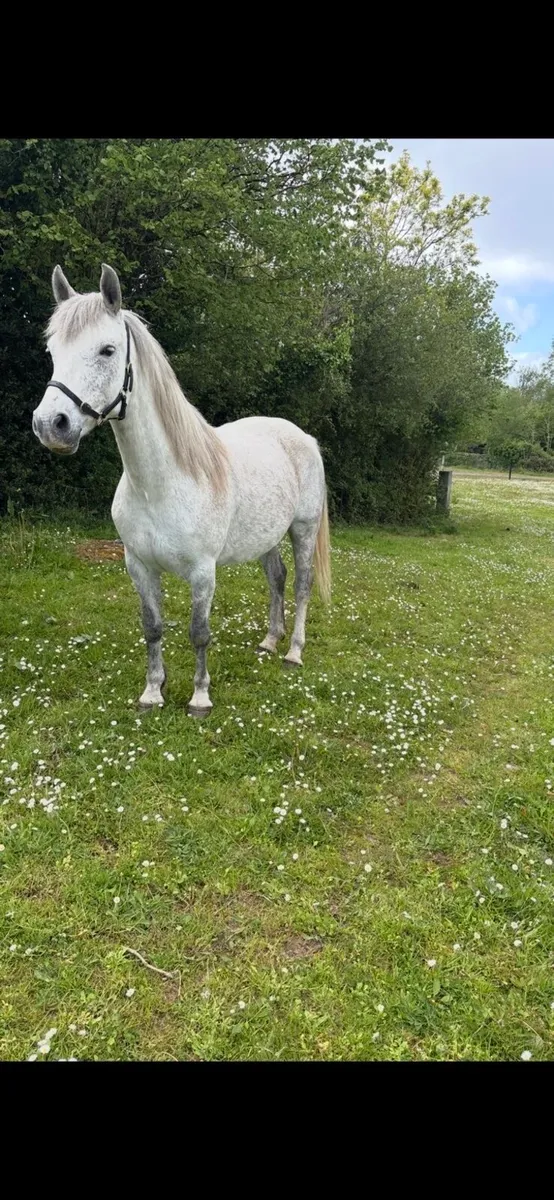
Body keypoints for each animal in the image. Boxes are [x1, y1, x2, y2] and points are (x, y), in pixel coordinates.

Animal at [32, 264, 331, 717]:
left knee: (300, 584)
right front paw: (152, 692)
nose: (51, 425)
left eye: (106, 350)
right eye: (52, 351)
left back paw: (294, 652)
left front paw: (200, 698)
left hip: (303, 529)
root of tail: (303, 438)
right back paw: (269, 641)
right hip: (267, 537)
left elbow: (198, 632)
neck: (160, 486)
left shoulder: (202, 573)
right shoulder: (139, 566)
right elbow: (153, 627)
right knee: (276, 579)